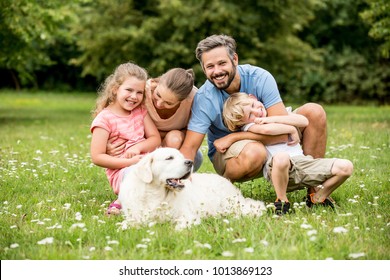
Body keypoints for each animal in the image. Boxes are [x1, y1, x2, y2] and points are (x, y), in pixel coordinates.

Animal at [119, 147, 266, 230]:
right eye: (169, 158)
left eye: (182, 157)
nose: (190, 162)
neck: (156, 194)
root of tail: (227, 181)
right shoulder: (134, 216)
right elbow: (124, 226)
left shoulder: (187, 216)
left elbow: (178, 227)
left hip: (230, 204)